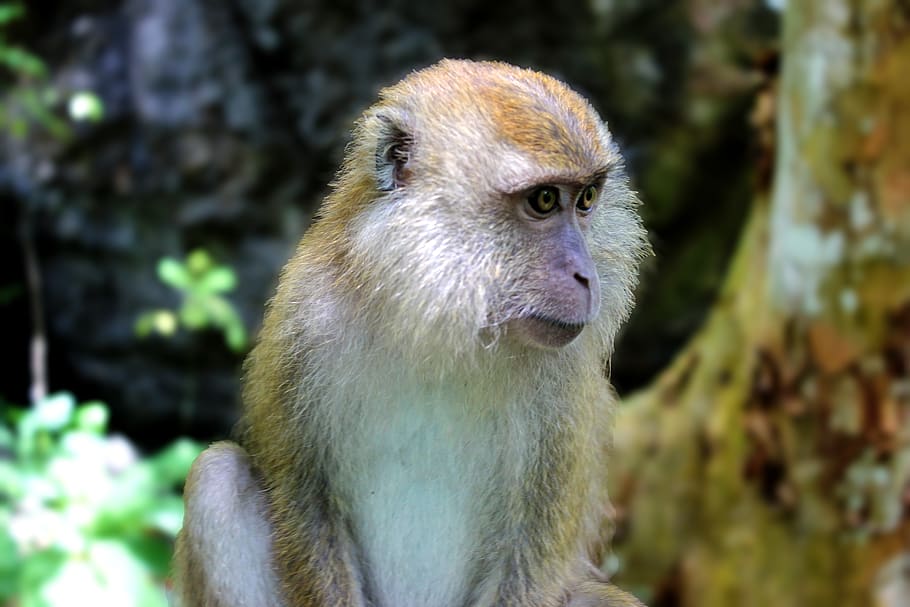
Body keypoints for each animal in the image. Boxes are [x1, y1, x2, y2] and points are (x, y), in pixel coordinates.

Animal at [172, 59, 649, 607]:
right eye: (545, 200)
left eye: (587, 198)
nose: (585, 276)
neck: (436, 324)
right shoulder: (303, 324)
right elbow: (305, 503)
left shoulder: (564, 387)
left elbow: (530, 558)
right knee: (217, 480)